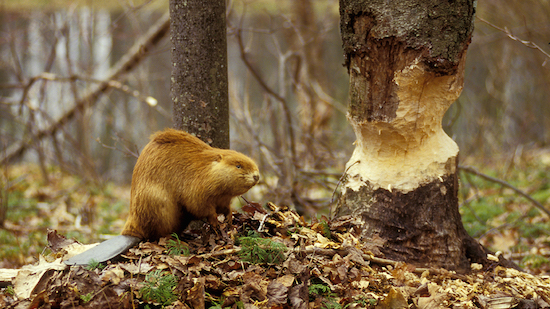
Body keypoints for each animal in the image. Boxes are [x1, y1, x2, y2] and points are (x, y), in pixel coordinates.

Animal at [121, 127, 260, 238]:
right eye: (238, 166)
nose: (257, 176)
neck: (206, 168)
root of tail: (129, 227)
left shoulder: (223, 197)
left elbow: (224, 207)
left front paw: (229, 218)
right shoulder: (195, 187)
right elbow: (198, 206)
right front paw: (215, 223)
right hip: (155, 202)